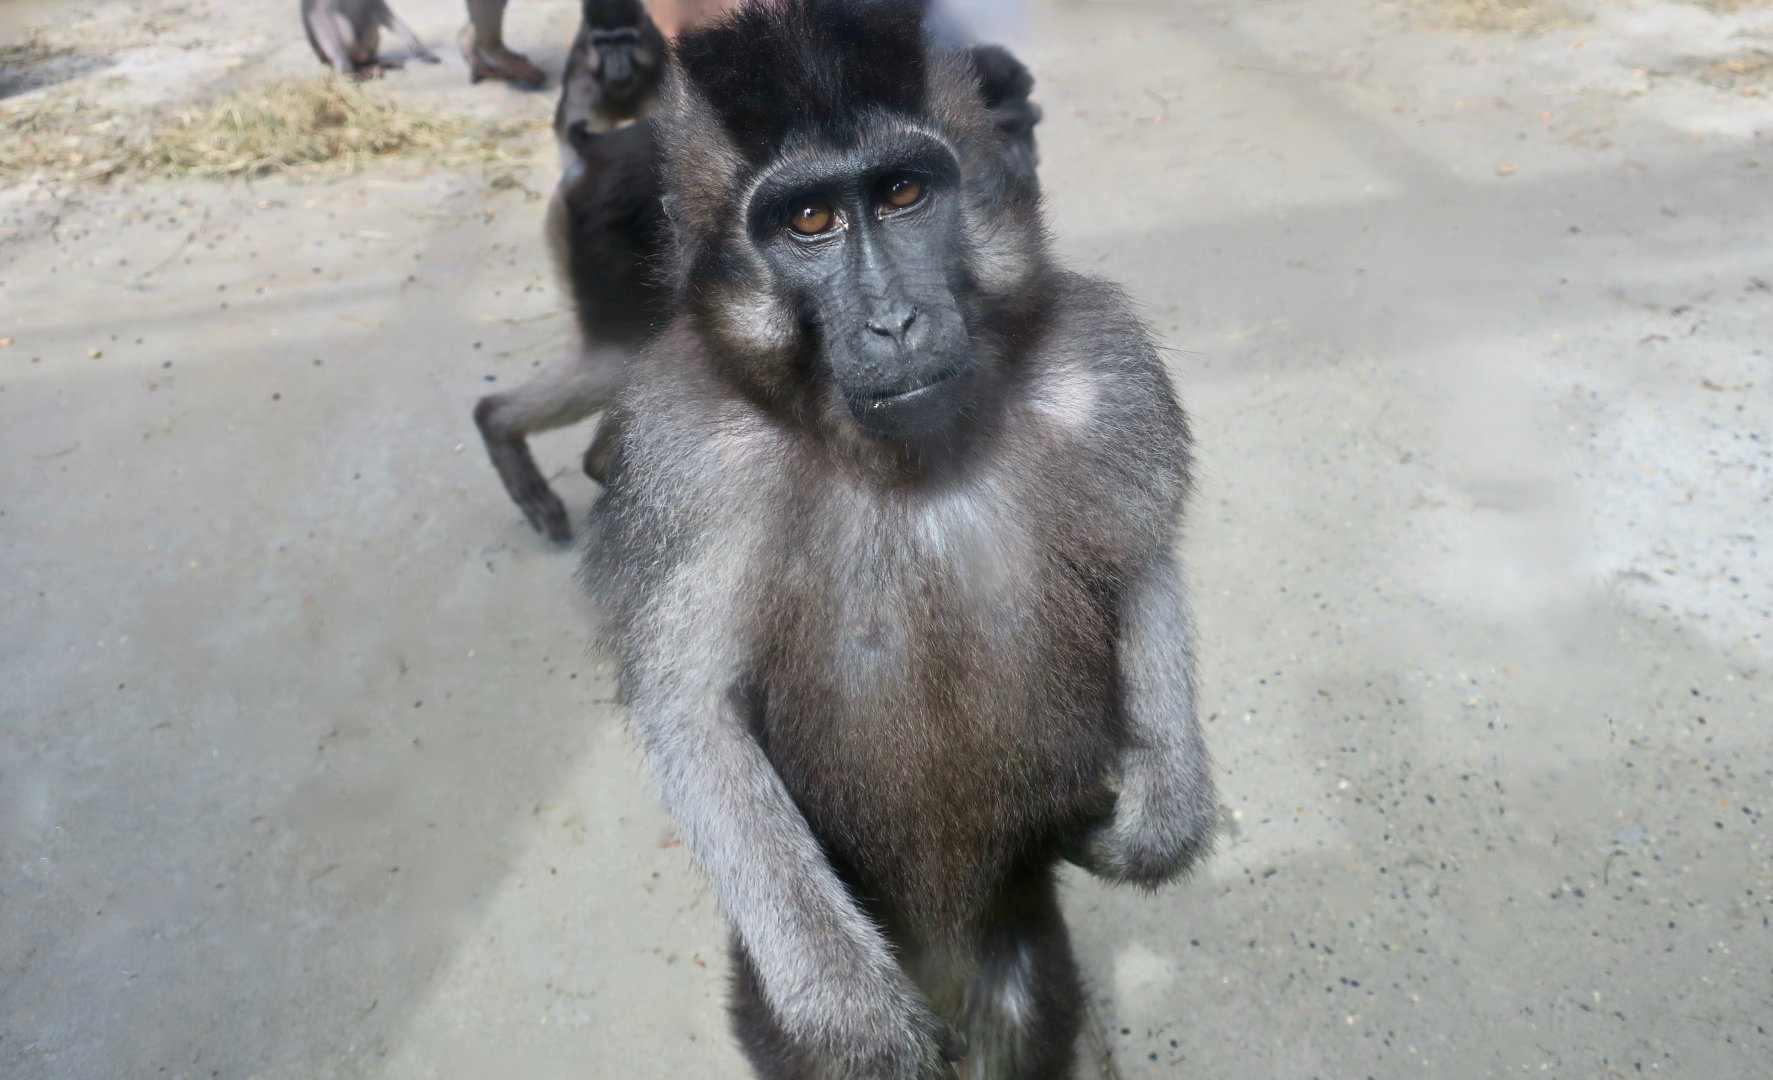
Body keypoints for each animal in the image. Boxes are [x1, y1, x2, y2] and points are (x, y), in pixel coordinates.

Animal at [473, 38, 1048, 543]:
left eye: (1028, 129)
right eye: (1007, 130)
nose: (1025, 168)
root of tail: (588, 155)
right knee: (611, 364)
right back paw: (502, 426)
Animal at [580, 2, 1217, 1077]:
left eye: (903, 194)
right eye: (809, 221)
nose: (892, 322)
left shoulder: (1103, 375)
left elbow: (1140, 569)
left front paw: (1158, 824)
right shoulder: (683, 463)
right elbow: (691, 710)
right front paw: (856, 1018)